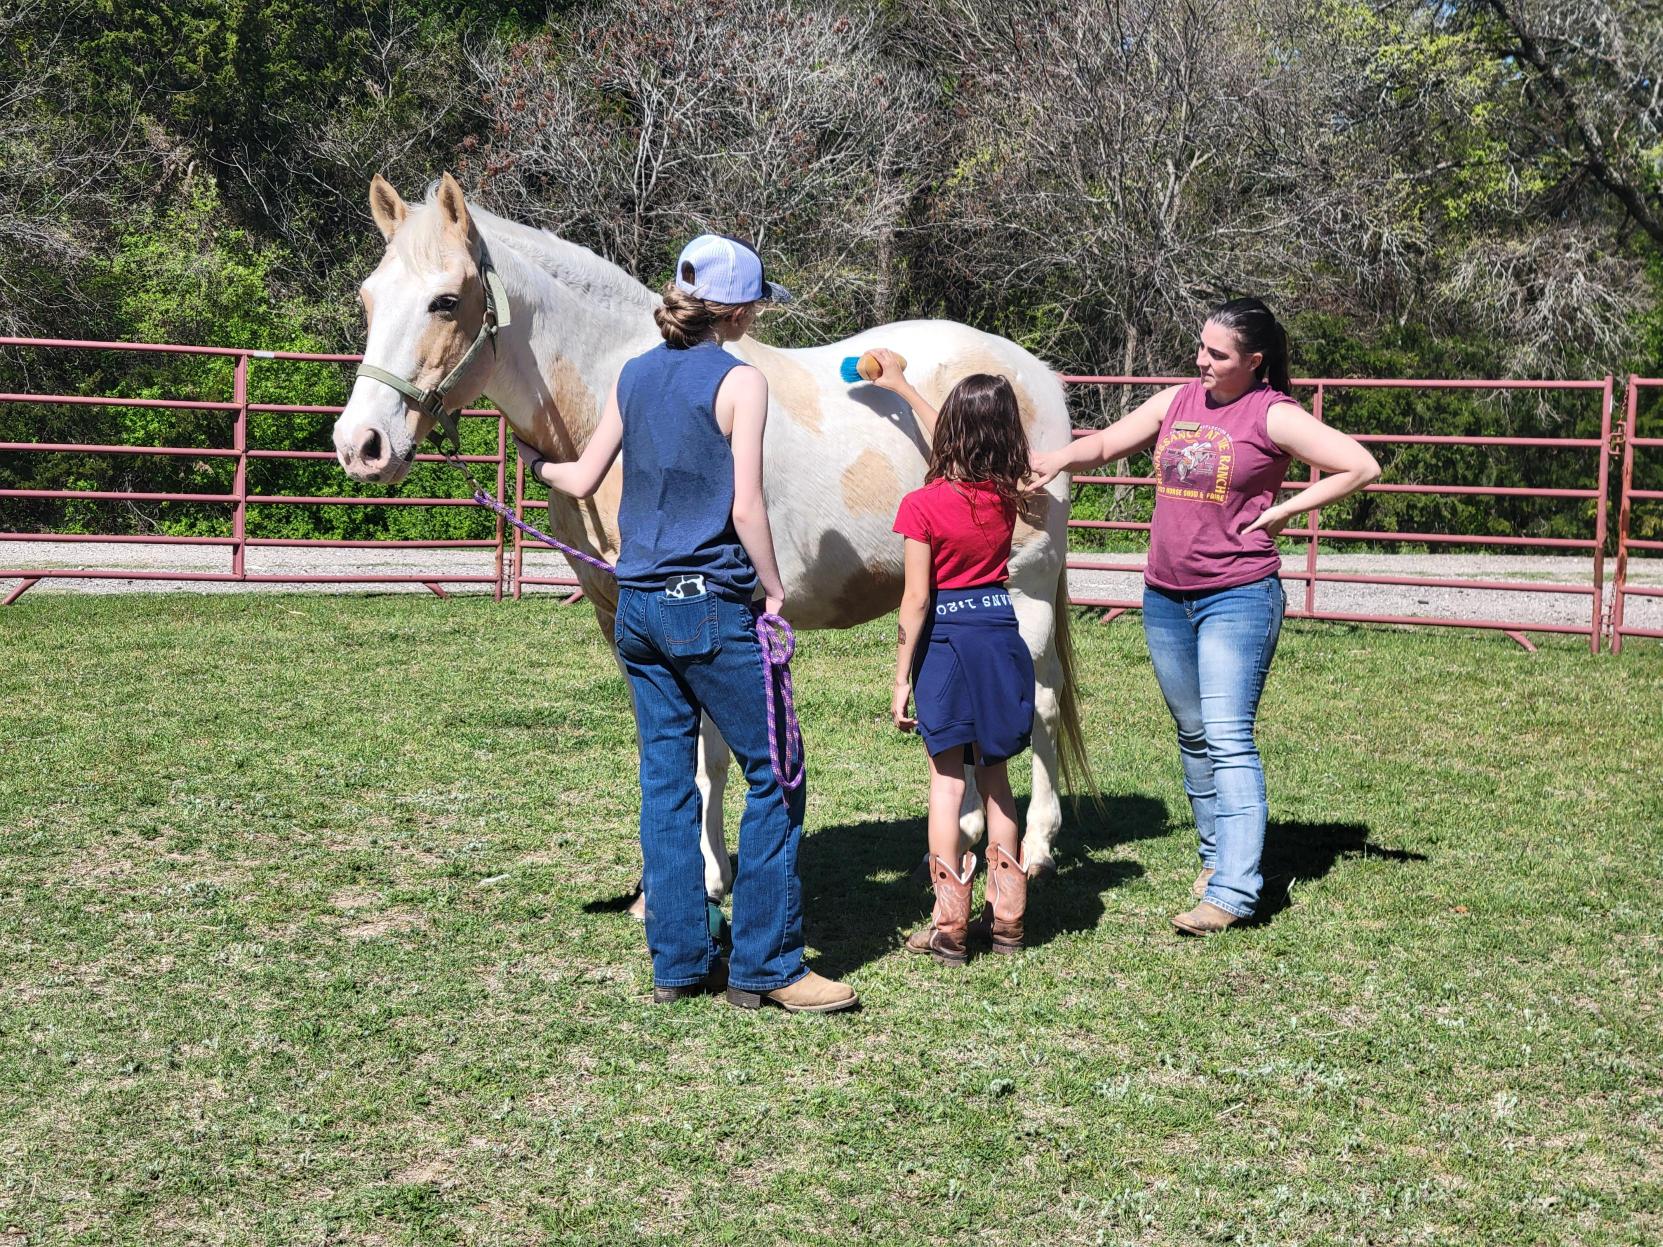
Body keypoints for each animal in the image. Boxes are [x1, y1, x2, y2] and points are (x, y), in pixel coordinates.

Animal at [331, 173, 1090, 899]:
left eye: (446, 301)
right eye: (368, 300)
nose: (359, 445)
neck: (624, 399)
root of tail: (1035, 375)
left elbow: (710, 755)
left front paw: (708, 876)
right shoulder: (622, 621)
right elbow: (671, 750)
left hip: (1024, 585)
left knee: (1039, 703)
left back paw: (1032, 848)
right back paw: (966, 833)